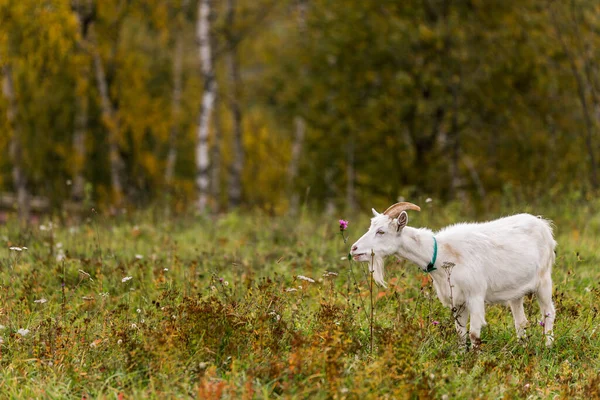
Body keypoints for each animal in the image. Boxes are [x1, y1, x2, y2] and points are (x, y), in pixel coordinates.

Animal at [350, 203, 556, 346]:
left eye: (381, 231)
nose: (354, 249)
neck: (441, 253)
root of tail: (543, 224)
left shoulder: (475, 295)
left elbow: (474, 334)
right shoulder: (457, 300)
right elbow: (461, 334)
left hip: (544, 280)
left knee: (548, 313)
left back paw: (547, 346)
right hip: (515, 291)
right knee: (520, 321)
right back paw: (523, 346)